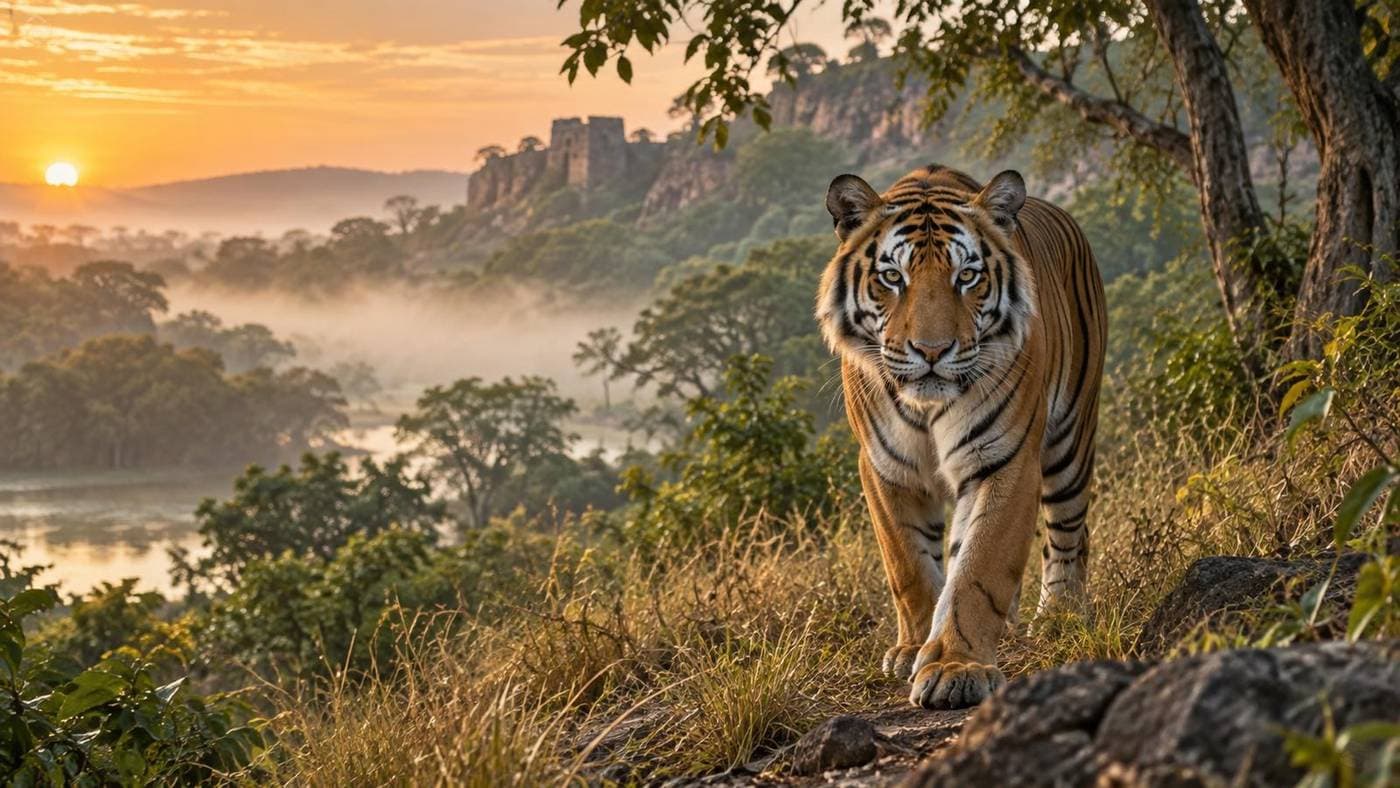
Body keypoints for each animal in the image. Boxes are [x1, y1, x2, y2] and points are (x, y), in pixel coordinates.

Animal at [816, 165, 1106, 710]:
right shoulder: (884, 467)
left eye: (966, 276)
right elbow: (910, 566)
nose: (932, 351)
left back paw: (1059, 617)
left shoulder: (1006, 457)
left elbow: (979, 567)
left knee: (1067, 533)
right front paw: (914, 649)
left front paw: (956, 666)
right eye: (893, 277)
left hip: (1070, 441)